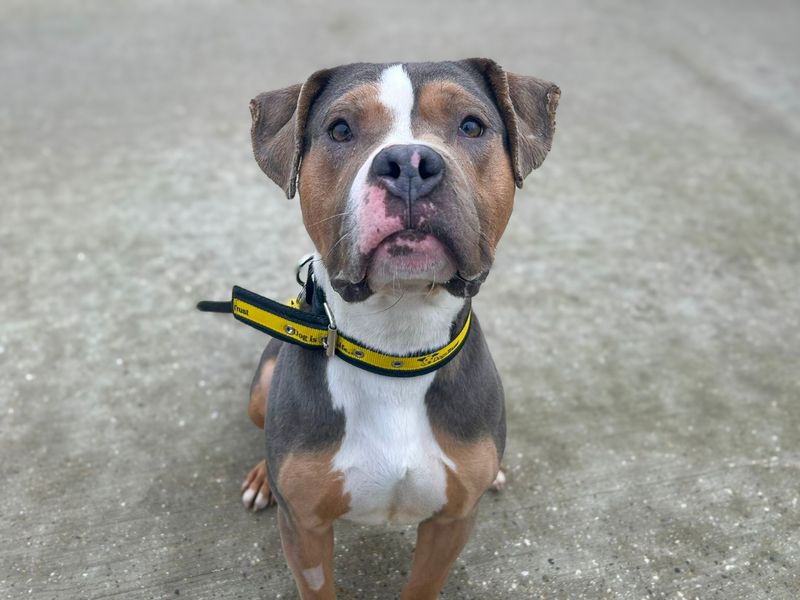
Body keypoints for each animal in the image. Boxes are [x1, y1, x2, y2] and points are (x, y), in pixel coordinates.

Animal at [237, 59, 559, 599]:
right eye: (339, 129)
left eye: (471, 125)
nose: (409, 162)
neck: (396, 346)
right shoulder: (305, 530)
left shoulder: (450, 523)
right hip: (261, 385)